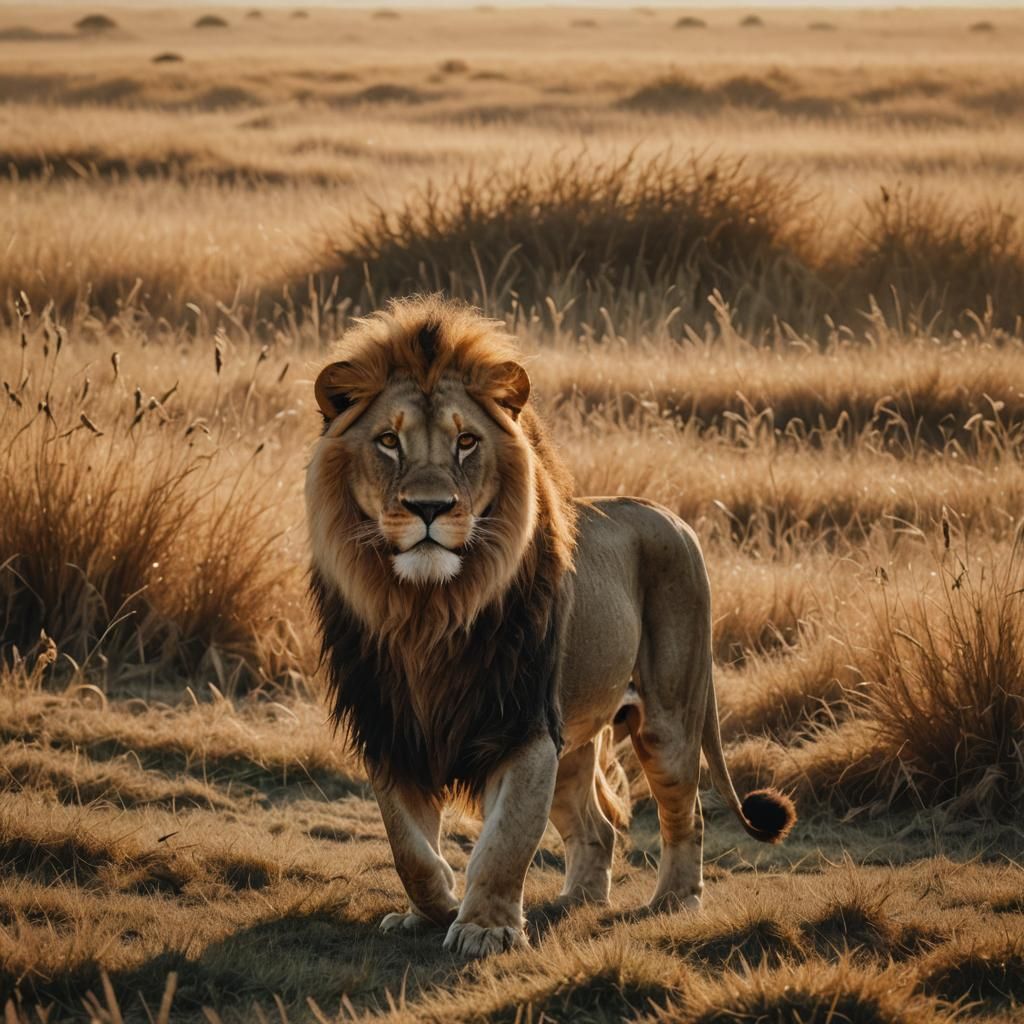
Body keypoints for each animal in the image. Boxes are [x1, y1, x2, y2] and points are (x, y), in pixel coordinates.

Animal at [306, 296, 796, 959]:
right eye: (387, 441)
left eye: (466, 442)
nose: (429, 508)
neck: (429, 611)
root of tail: (671, 517)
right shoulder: (393, 731)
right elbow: (410, 849)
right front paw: (430, 912)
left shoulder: (525, 728)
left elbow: (505, 840)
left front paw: (484, 928)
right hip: (576, 742)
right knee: (597, 828)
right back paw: (577, 899)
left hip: (668, 718)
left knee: (685, 814)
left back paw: (674, 901)